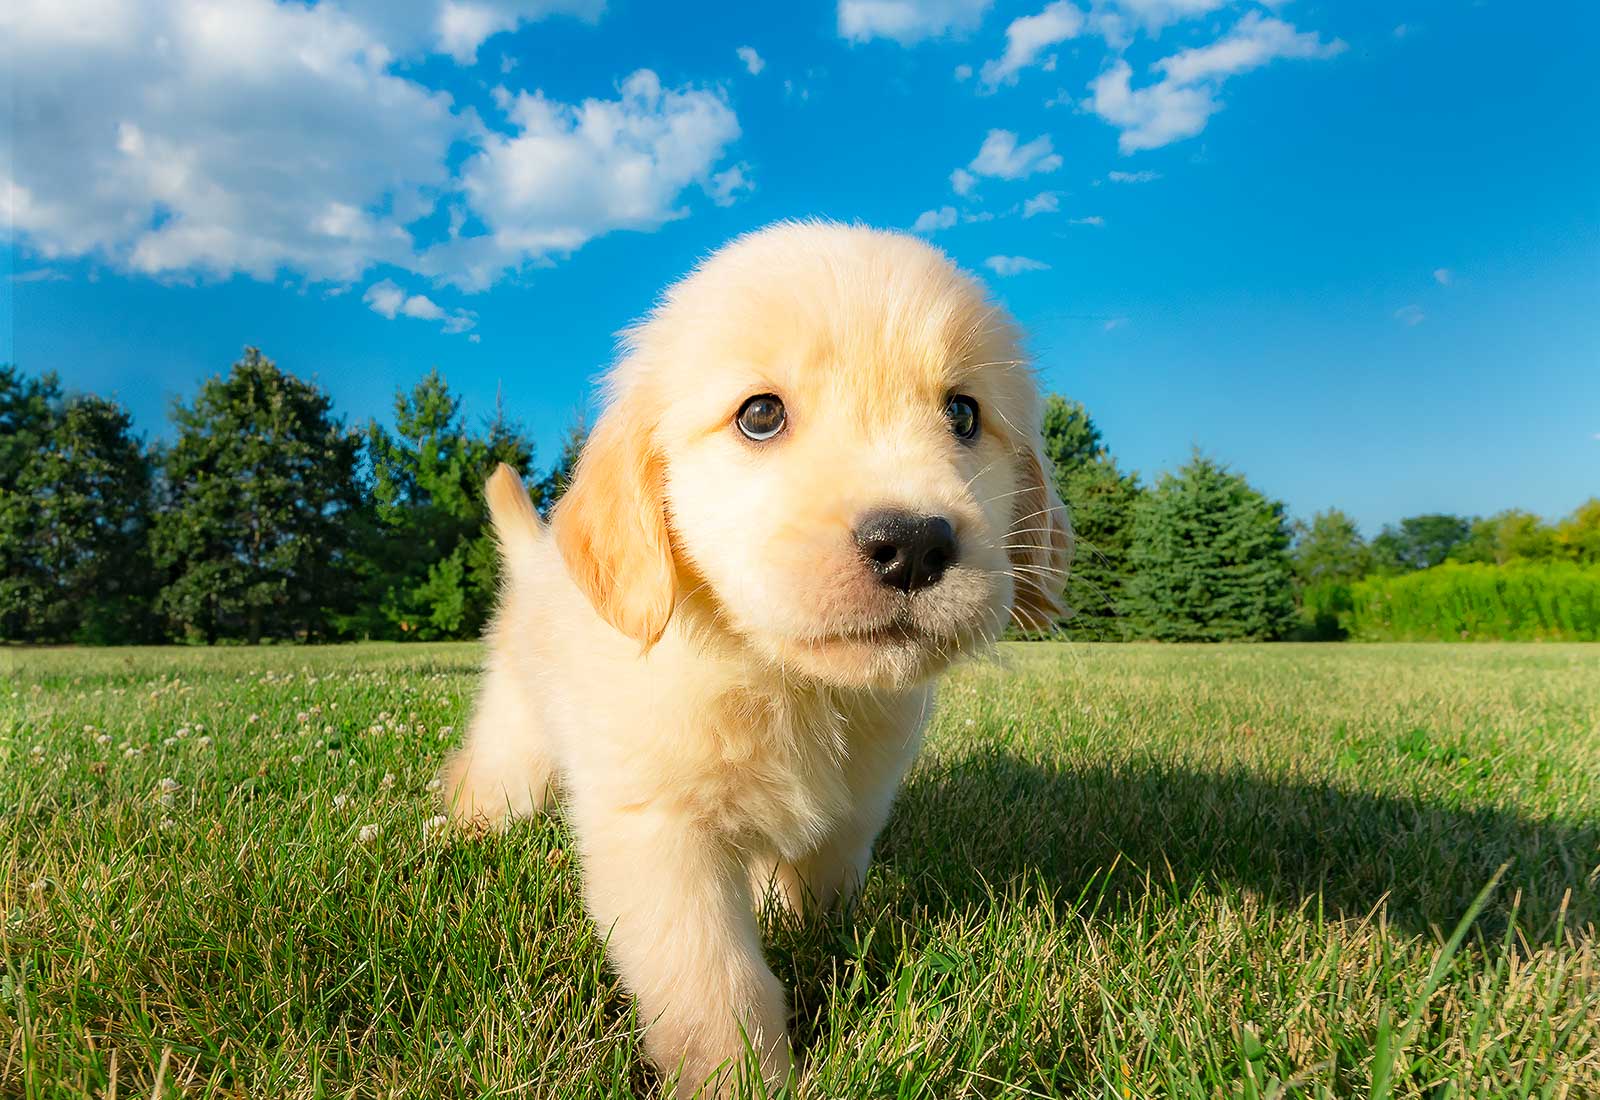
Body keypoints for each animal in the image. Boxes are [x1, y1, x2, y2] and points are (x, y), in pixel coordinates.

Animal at [444, 219, 1068, 1093]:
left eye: (965, 414)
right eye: (761, 415)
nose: (914, 545)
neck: (787, 683)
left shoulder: (855, 804)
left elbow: (818, 886)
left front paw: (805, 928)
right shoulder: (659, 832)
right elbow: (713, 980)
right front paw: (739, 1079)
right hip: (517, 736)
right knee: (484, 779)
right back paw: (459, 833)